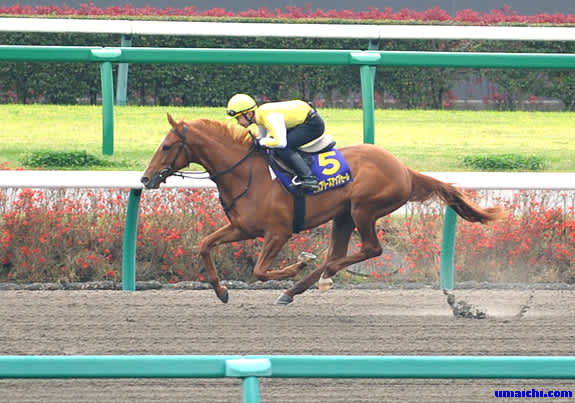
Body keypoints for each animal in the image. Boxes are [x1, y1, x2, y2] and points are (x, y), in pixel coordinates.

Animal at [141, 113, 506, 305]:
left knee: (369, 249)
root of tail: (404, 168)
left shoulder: (279, 232)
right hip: (343, 215)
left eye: (167, 146)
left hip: (363, 209)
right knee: (340, 253)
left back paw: (313, 276)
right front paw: (221, 291)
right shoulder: (242, 228)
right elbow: (204, 245)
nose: (145, 179)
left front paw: (296, 265)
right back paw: (302, 287)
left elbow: (260, 271)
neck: (246, 174)